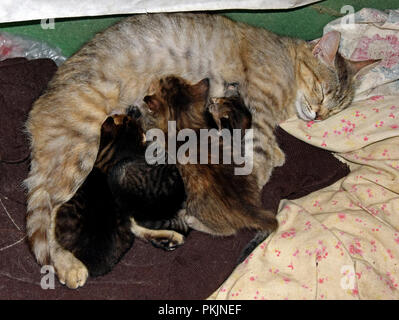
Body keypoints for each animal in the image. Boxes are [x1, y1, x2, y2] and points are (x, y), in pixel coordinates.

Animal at [143, 75, 278, 235]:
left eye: (155, 84)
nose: (153, 79)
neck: (181, 118)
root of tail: (249, 210)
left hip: (198, 205)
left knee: (226, 231)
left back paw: (190, 219)